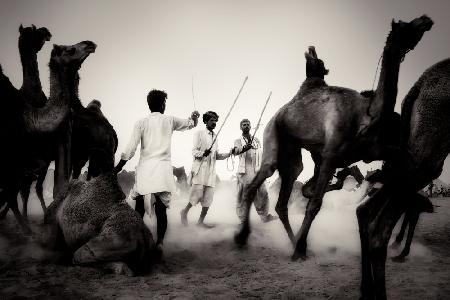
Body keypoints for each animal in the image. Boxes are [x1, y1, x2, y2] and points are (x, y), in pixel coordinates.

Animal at [234, 15, 434, 262]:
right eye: (405, 27)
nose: (425, 20)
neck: (366, 115)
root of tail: (278, 114)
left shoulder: (367, 151)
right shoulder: (330, 155)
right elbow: (314, 204)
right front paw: (301, 248)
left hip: (292, 153)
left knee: (285, 194)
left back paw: (292, 241)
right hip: (272, 133)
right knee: (259, 181)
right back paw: (246, 237)